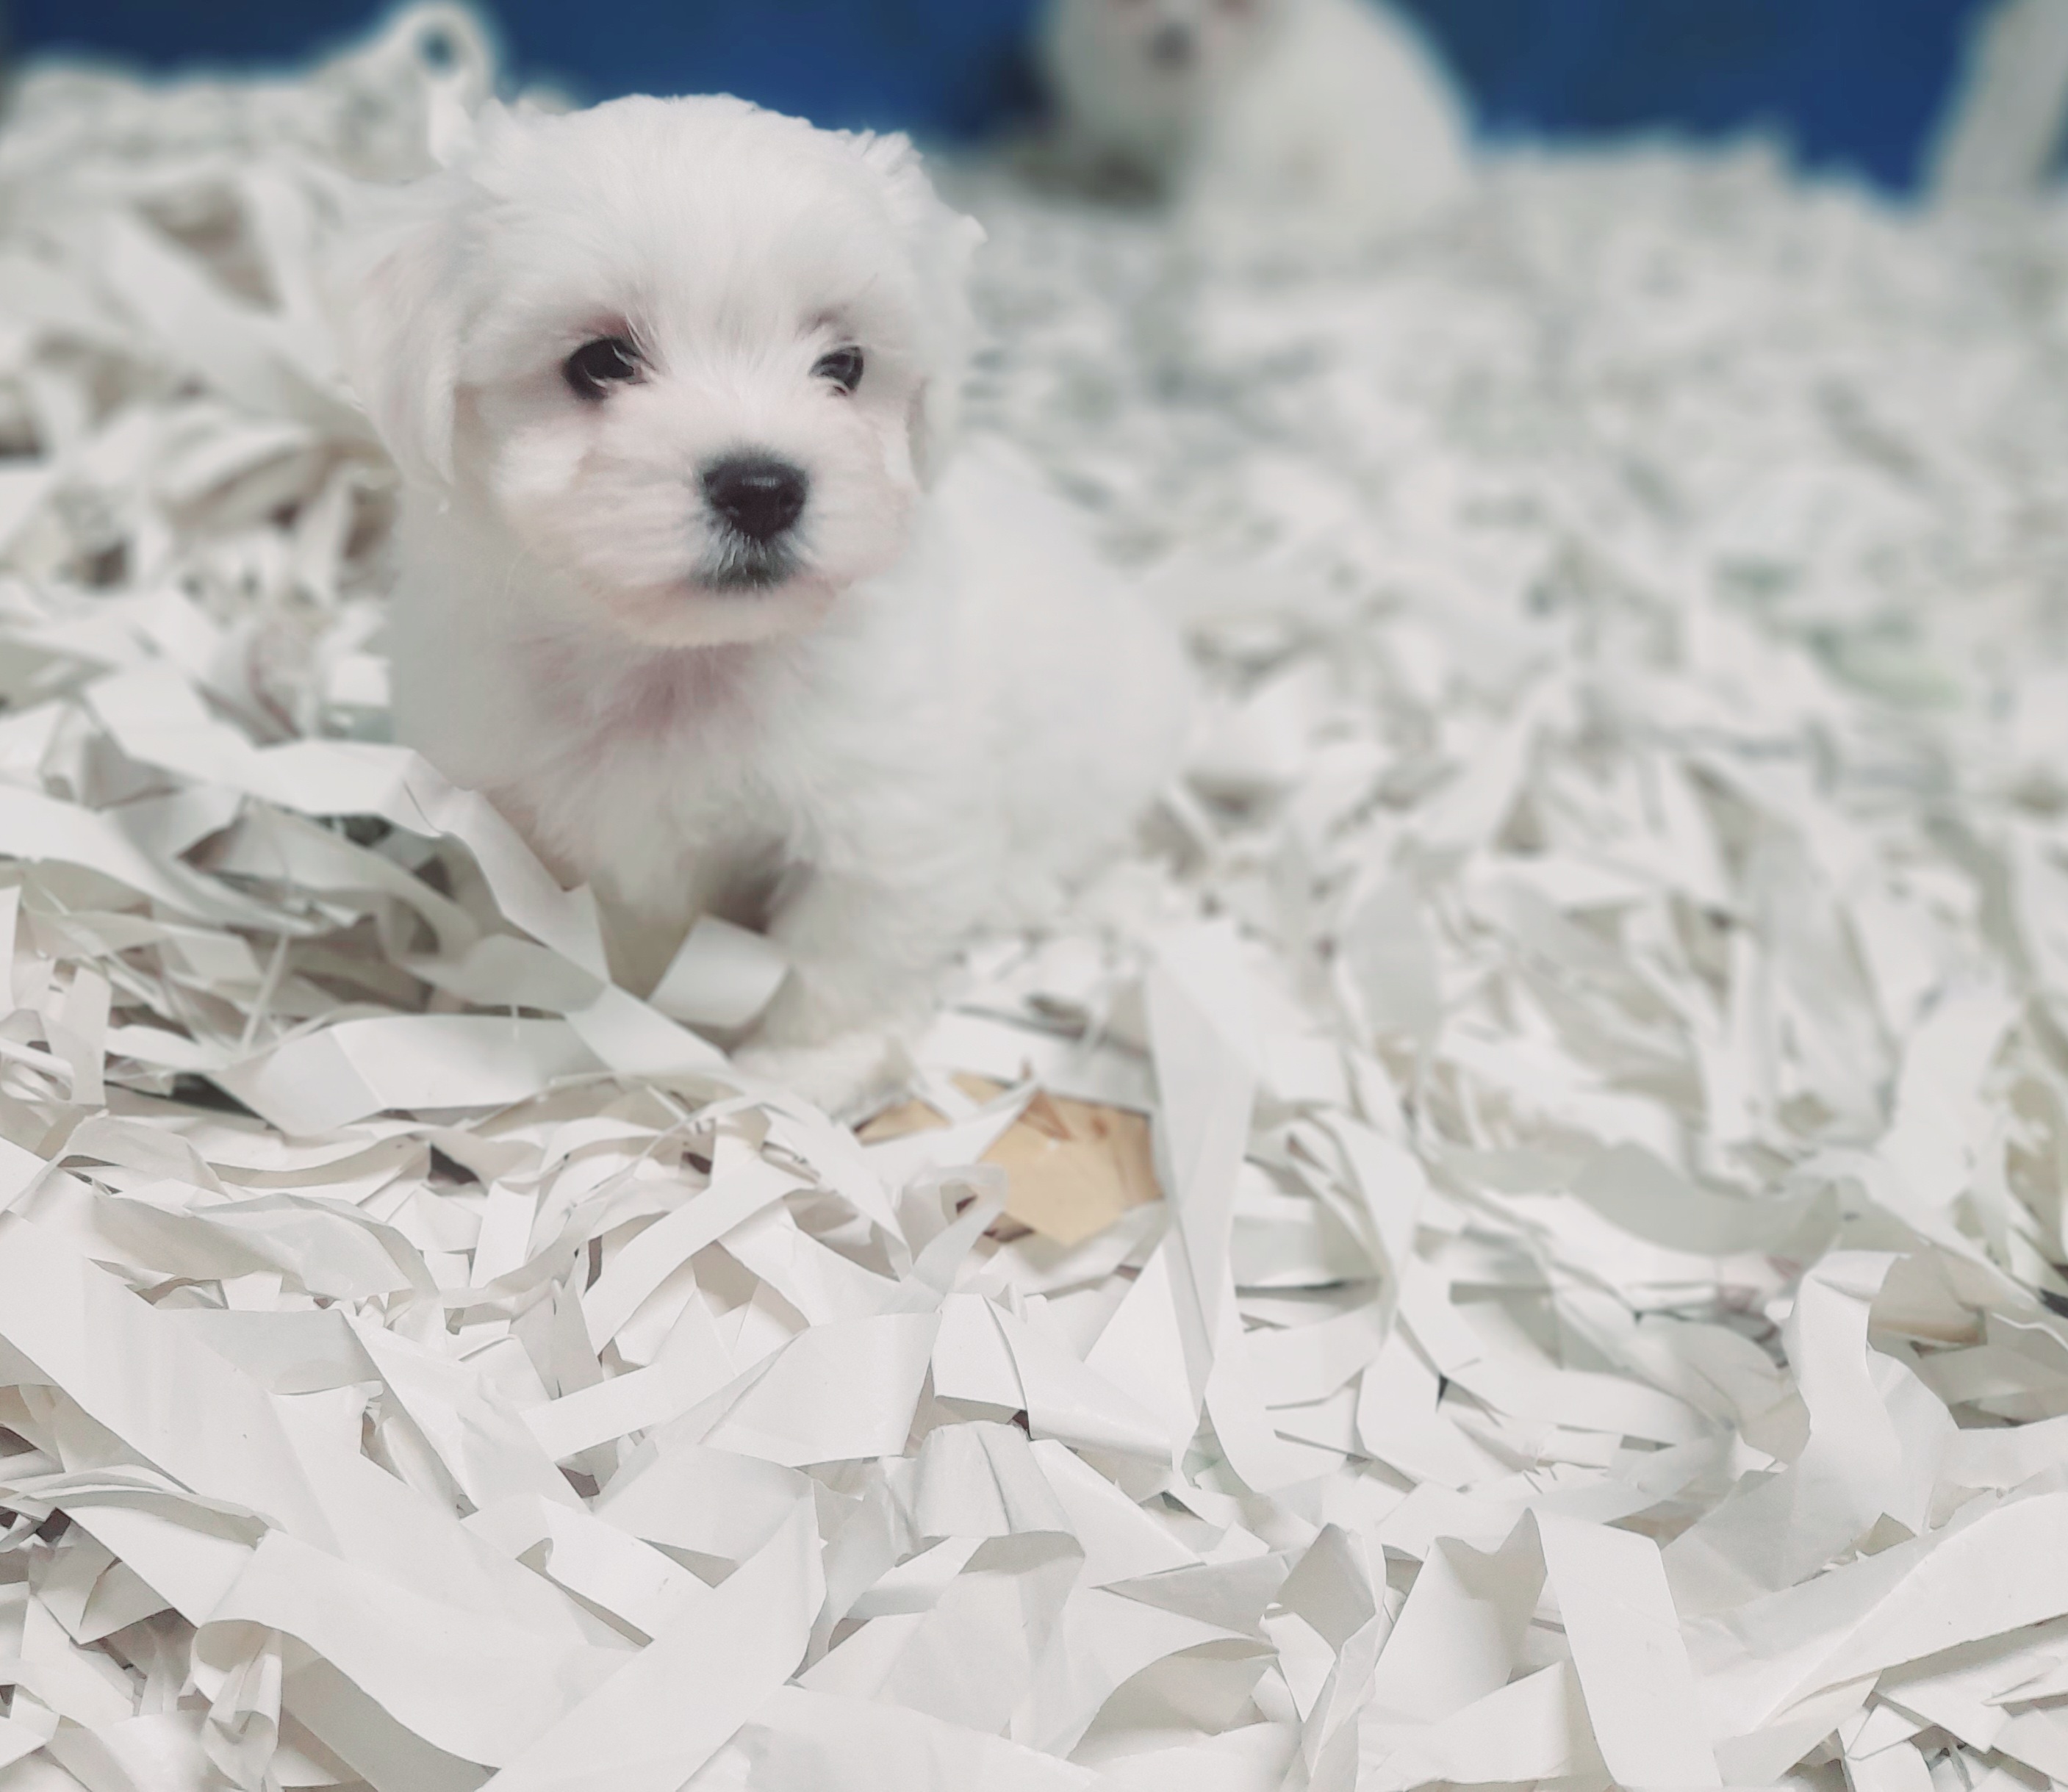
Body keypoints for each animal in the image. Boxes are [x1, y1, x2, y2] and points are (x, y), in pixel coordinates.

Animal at [341, 98, 1199, 1116]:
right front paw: (539, 1012)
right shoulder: (503, 807)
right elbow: (545, 931)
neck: (676, 662)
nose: (761, 489)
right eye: (600, 362)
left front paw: (797, 1078)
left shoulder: (888, 818)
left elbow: (840, 958)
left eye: (845, 364)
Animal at [1042, 0, 1480, 250]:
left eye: (1230, 5)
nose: (1176, 37)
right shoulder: (1095, 106)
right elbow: (1087, 145)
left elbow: (1208, 195)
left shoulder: (1240, 139)